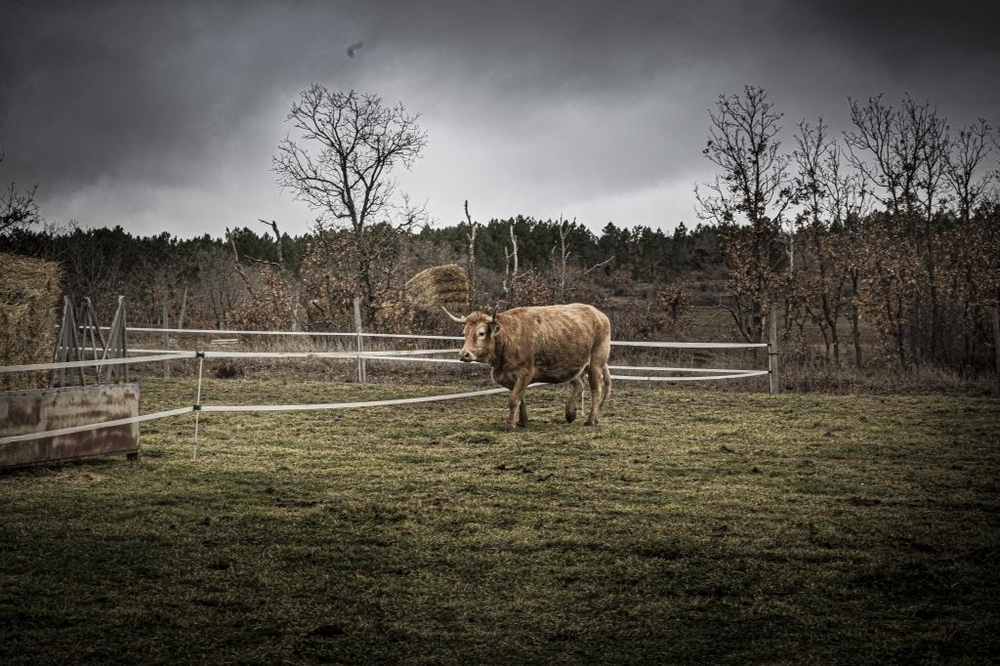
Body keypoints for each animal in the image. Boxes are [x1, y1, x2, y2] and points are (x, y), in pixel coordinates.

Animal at [446, 302, 608, 428]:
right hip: (572, 366)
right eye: (464, 333)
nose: (464, 354)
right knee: (579, 384)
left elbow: (513, 400)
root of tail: (598, 314)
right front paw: (522, 421)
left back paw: (590, 420)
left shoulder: (524, 373)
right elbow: (520, 399)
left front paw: (510, 425)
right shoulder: (511, 377)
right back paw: (570, 413)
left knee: (596, 391)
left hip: (596, 363)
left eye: (481, 333)